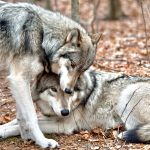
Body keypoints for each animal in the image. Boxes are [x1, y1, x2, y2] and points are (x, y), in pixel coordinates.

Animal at [0, 0, 101, 147]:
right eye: (72, 65)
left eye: (82, 70)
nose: (69, 90)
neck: (42, 34)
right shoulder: (19, 79)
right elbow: (31, 116)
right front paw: (43, 142)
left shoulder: (19, 80)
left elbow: (21, 116)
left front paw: (26, 137)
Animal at [0, 70, 150, 144]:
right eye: (53, 89)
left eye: (69, 90)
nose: (65, 112)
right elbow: (16, 121)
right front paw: (3, 128)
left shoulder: (64, 125)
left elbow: (20, 127)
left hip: (127, 97)